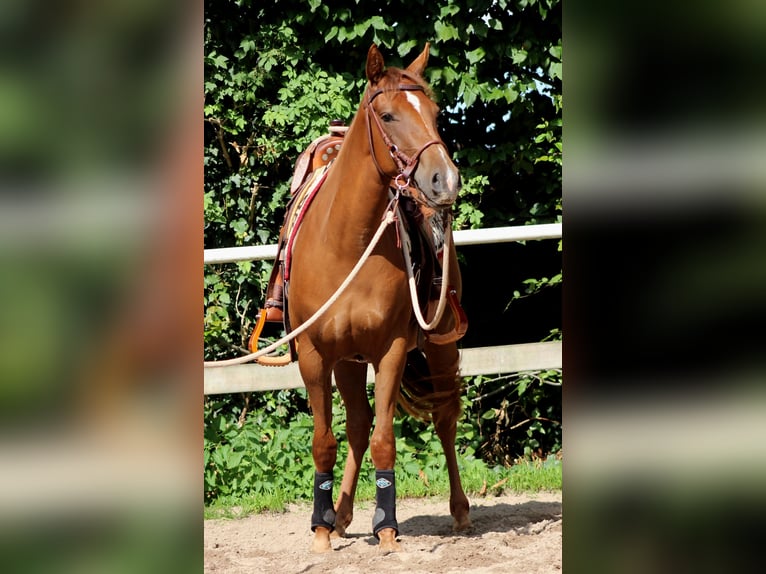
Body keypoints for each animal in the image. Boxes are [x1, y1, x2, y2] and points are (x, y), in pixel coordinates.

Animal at [286, 43, 471, 553]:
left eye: (434, 113)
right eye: (387, 115)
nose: (445, 180)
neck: (345, 243)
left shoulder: (390, 349)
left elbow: (386, 438)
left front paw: (386, 527)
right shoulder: (315, 354)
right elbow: (325, 441)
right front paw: (321, 527)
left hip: (440, 344)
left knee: (445, 417)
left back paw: (460, 511)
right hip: (347, 361)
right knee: (356, 424)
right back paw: (340, 515)